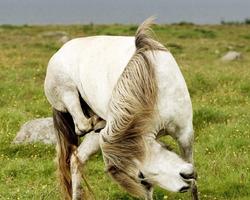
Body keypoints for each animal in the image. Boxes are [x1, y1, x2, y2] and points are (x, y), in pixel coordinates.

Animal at [44, 18, 197, 199]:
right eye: (141, 176)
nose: (183, 185)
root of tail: (60, 50)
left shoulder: (185, 135)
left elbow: (195, 187)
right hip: (68, 93)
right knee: (81, 126)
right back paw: (97, 121)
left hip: (99, 135)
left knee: (77, 158)